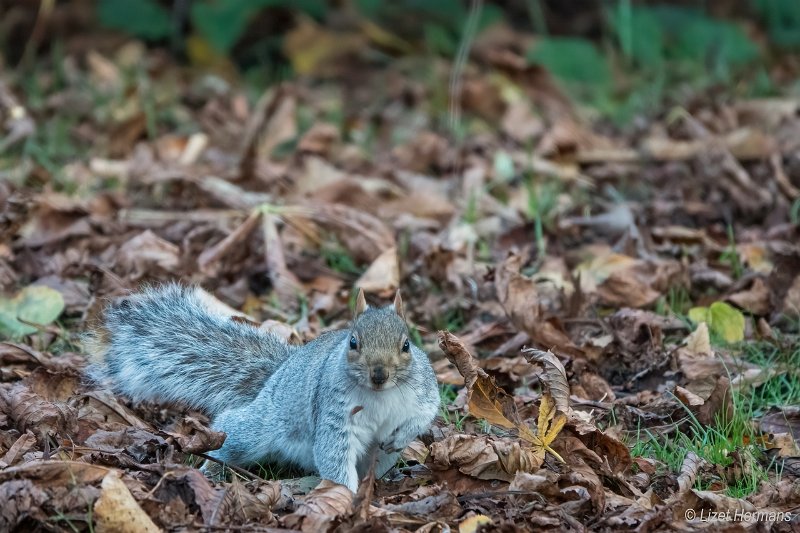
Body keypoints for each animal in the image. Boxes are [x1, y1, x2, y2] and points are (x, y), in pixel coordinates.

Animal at [84, 282, 440, 490]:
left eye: (407, 345)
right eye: (353, 342)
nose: (379, 375)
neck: (380, 395)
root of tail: (273, 378)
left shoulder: (422, 391)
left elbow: (425, 413)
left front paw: (401, 436)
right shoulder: (334, 414)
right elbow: (335, 456)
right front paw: (346, 500)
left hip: (380, 461)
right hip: (259, 428)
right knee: (233, 432)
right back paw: (211, 468)